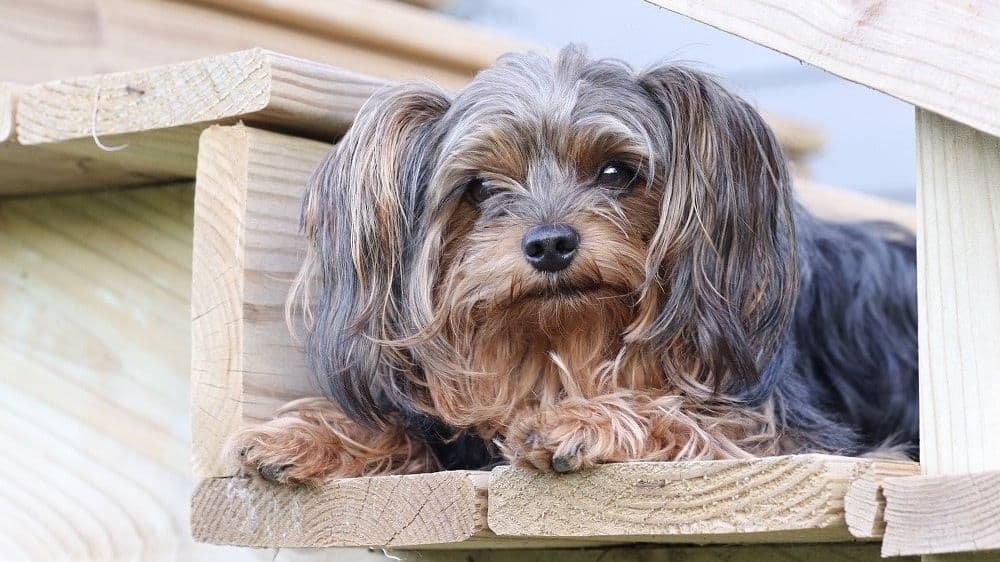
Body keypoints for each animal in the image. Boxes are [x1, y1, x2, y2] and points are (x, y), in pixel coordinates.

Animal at [230, 44, 916, 482]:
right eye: (480, 188)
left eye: (616, 172)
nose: (550, 244)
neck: (563, 340)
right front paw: (301, 435)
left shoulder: (794, 432)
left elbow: (694, 414)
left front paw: (576, 422)